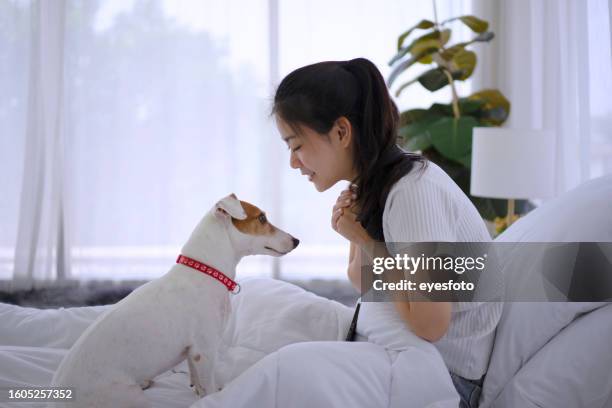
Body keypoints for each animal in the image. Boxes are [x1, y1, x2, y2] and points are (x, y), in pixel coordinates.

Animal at [50, 194, 298, 408]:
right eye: (262, 218)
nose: (297, 240)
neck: (205, 272)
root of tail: (56, 401)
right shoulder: (204, 349)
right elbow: (208, 386)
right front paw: (212, 397)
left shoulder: (192, 352)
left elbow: (197, 379)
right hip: (130, 397)